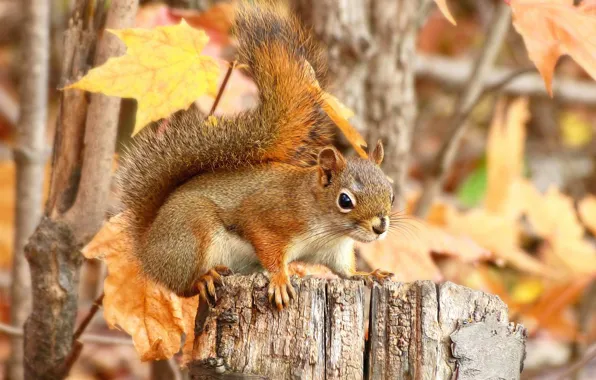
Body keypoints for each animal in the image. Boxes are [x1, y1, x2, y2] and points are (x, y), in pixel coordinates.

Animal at [118, 0, 394, 310]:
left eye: (391, 194)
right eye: (345, 200)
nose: (380, 227)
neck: (327, 223)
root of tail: (147, 247)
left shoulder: (335, 249)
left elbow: (344, 271)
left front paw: (368, 274)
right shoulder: (270, 218)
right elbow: (269, 250)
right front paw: (280, 280)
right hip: (191, 235)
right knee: (182, 286)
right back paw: (203, 279)